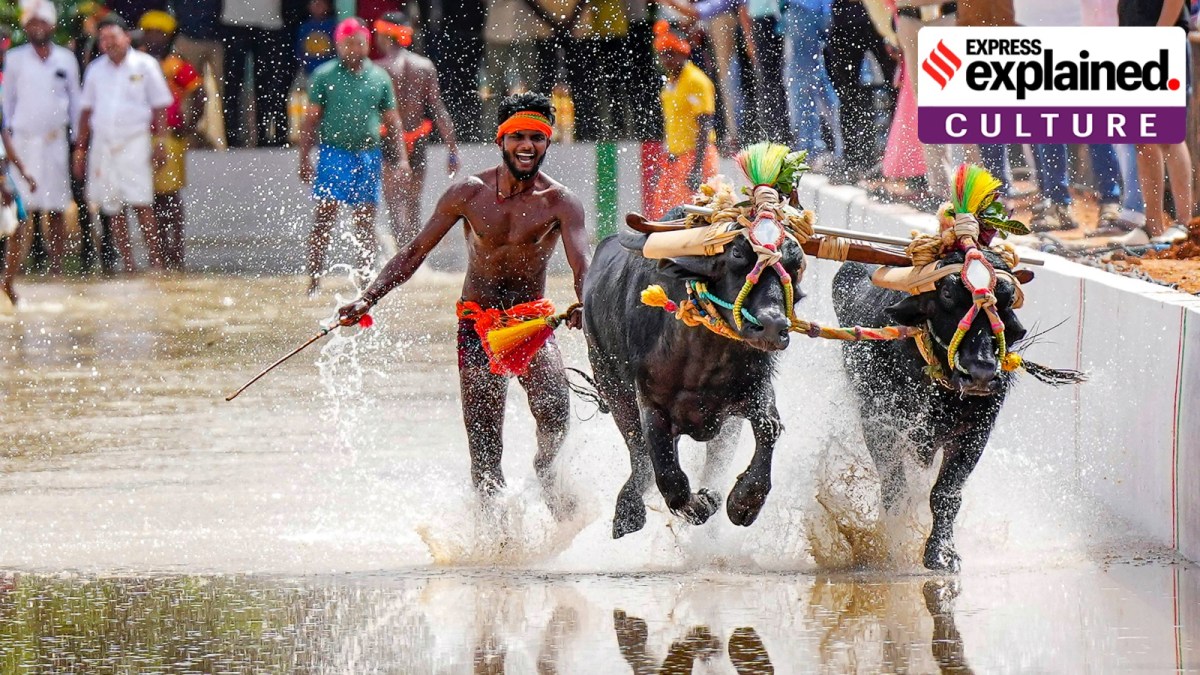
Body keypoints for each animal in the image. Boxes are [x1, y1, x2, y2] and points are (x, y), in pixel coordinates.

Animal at [584, 205, 807, 538]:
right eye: (737, 254)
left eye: (794, 266)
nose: (771, 325)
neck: (704, 357)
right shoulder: (650, 403)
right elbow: (668, 477)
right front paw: (699, 504)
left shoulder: (754, 390)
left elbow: (768, 428)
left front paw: (743, 502)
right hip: (612, 388)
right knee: (640, 458)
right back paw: (628, 513)